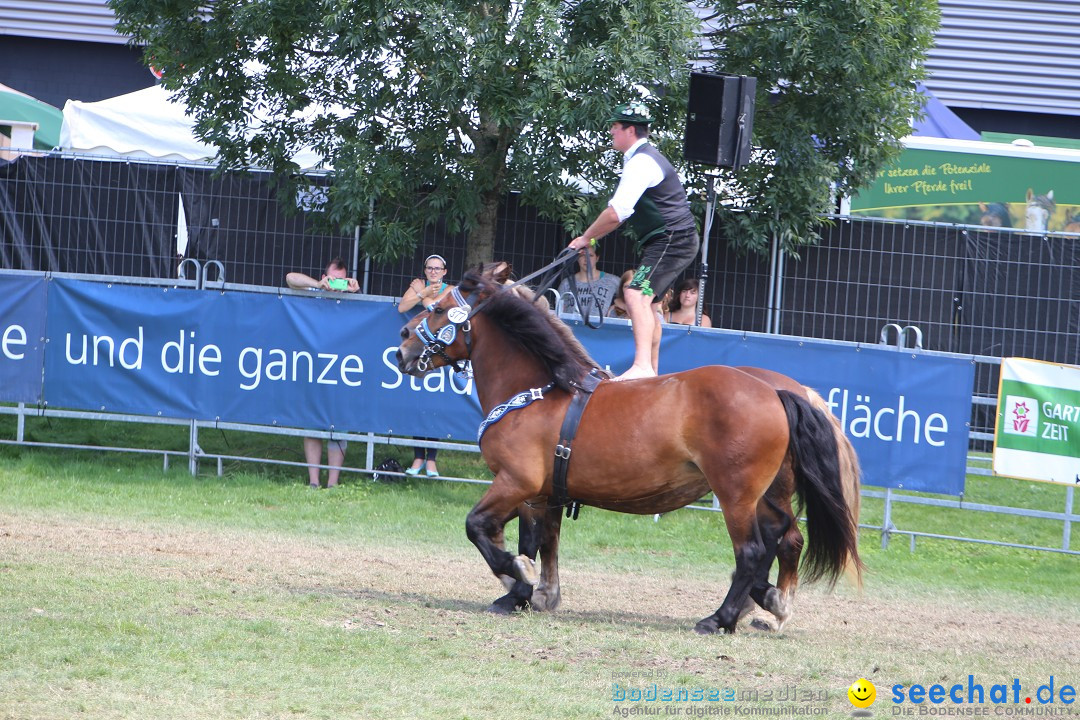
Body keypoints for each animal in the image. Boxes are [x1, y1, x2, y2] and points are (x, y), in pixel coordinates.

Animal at [397, 272, 859, 634]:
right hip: (767, 493)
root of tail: (777, 391)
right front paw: (532, 593)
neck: (540, 390)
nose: (402, 343)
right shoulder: (542, 494)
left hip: (736, 494)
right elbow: (541, 541)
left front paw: (517, 579)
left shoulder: (516, 482)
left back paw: (722, 617)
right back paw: (769, 602)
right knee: (785, 536)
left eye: (438, 307)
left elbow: (479, 527)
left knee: (753, 551)